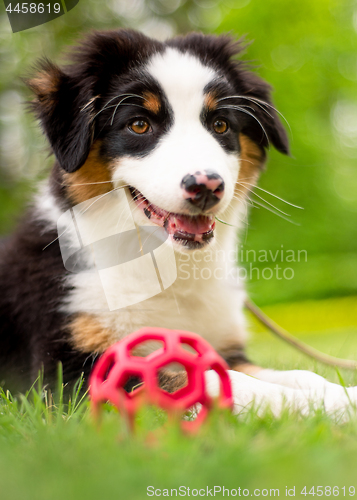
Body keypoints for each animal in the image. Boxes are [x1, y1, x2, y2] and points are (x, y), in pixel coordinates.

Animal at [1, 29, 354, 416]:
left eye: (220, 124)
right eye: (139, 124)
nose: (206, 186)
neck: (164, 265)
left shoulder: (225, 347)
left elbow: (298, 374)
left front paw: (342, 394)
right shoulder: (68, 373)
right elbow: (212, 380)